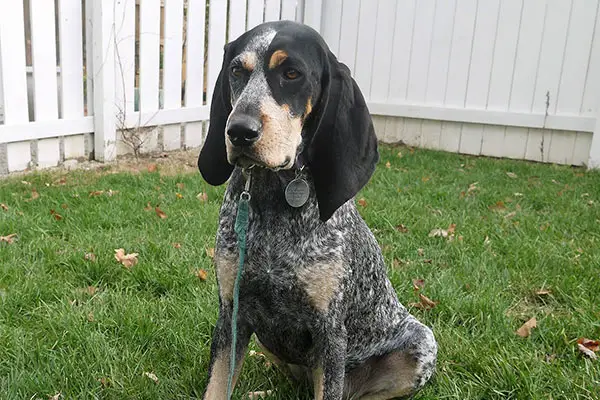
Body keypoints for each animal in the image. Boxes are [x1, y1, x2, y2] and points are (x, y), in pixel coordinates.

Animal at [199, 21, 438, 400]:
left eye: (291, 73)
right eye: (237, 71)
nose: (238, 131)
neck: (274, 196)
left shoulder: (330, 332)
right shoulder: (231, 314)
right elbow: (217, 386)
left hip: (421, 344)